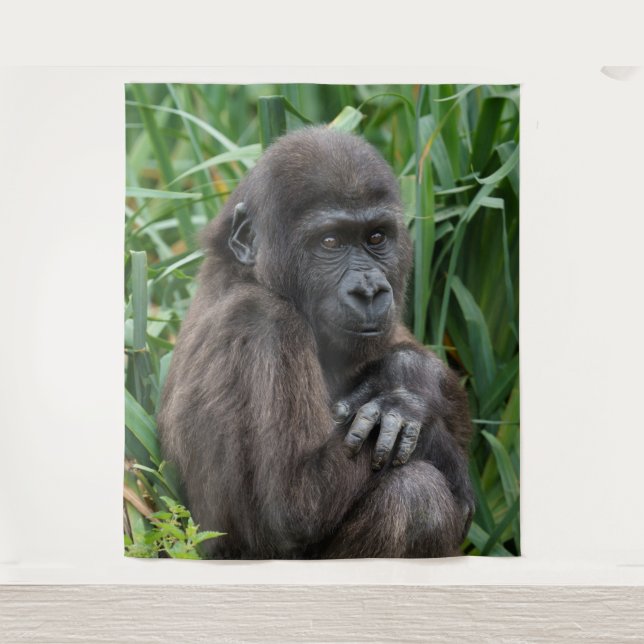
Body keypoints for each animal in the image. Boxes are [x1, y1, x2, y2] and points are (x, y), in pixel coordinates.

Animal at [158, 126, 474, 558]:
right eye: (330, 242)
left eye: (376, 237)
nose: (370, 290)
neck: (249, 274)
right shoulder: (262, 322)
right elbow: (294, 503)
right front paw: (406, 403)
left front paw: (408, 380)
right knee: (415, 496)